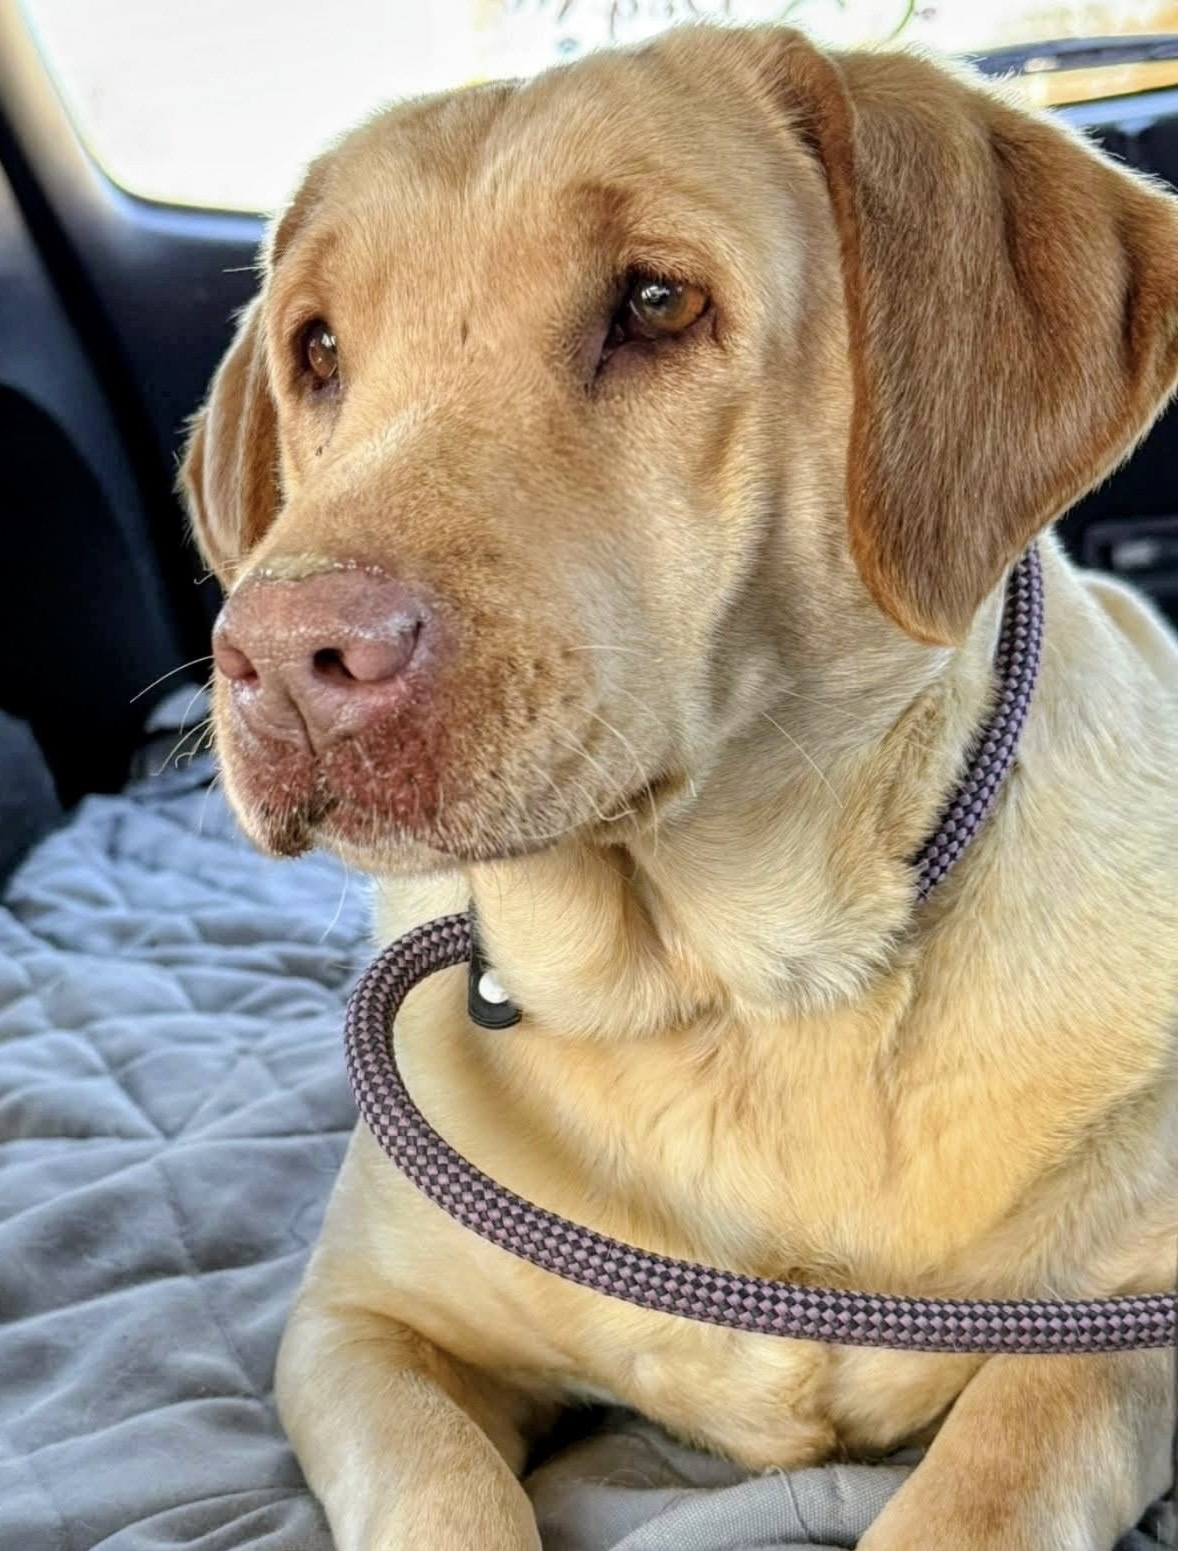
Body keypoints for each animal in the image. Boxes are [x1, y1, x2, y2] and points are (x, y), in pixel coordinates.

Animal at [181, 25, 1178, 1550]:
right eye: (318, 350)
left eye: (654, 302)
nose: (283, 657)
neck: (725, 1006)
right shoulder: (357, 1323)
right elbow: (439, 1486)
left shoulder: (1124, 1319)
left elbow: (1000, 1457)